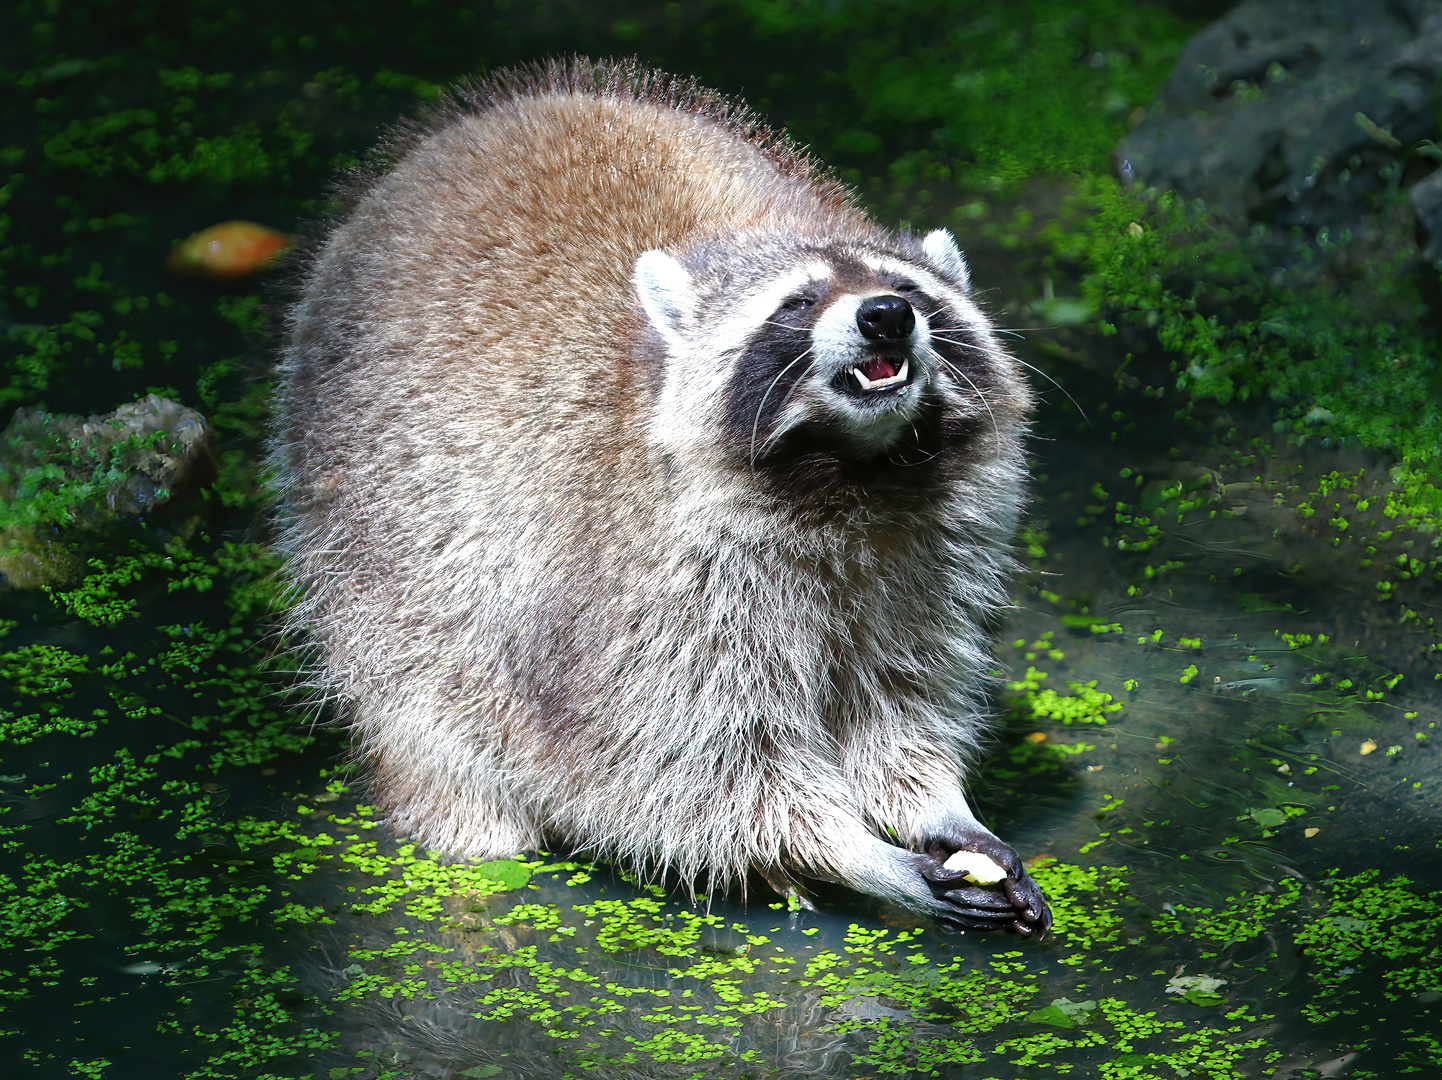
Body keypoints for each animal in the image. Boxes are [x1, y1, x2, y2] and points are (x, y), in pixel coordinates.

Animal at [271, 60, 1049, 934]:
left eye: (907, 289)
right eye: (799, 301)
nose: (886, 316)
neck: (854, 472)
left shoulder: (928, 555)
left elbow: (901, 696)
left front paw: (935, 802)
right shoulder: (643, 582)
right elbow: (676, 764)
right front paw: (841, 847)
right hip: (367, 554)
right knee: (434, 709)